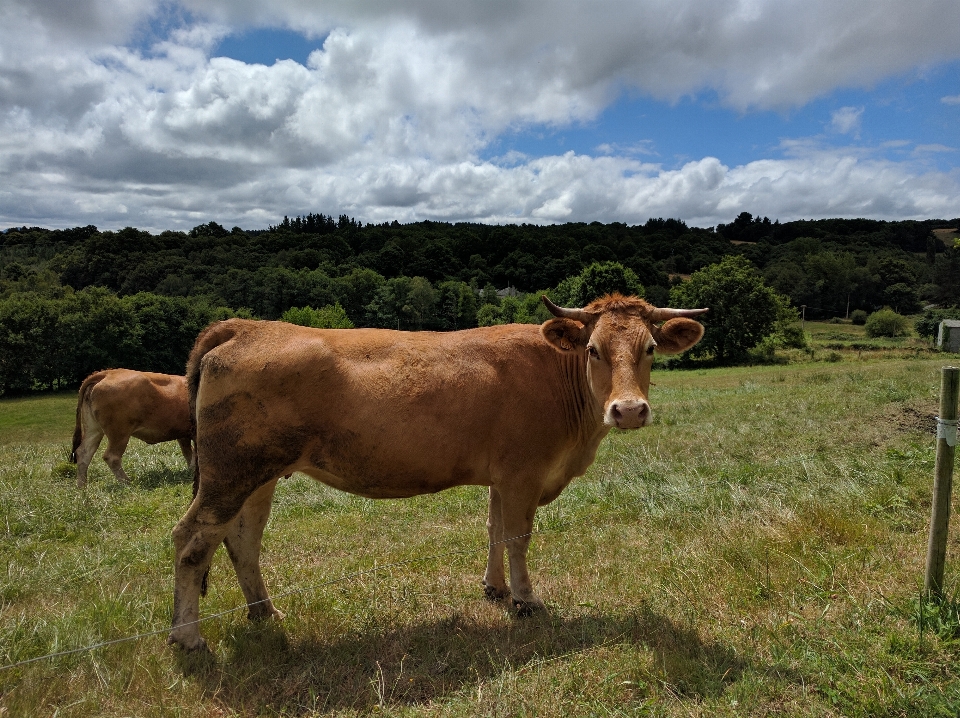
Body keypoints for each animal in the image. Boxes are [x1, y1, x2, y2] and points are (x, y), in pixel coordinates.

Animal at [167, 292, 704, 652]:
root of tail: (245, 325)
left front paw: (495, 588)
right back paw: (187, 637)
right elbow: (518, 537)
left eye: (650, 349)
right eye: (593, 349)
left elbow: (493, 530)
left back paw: (264, 611)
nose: (628, 410)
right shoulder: (523, 474)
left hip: (258, 476)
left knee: (242, 539)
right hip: (229, 473)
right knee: (192, 539)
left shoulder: (501, 477)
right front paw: (526, 600)